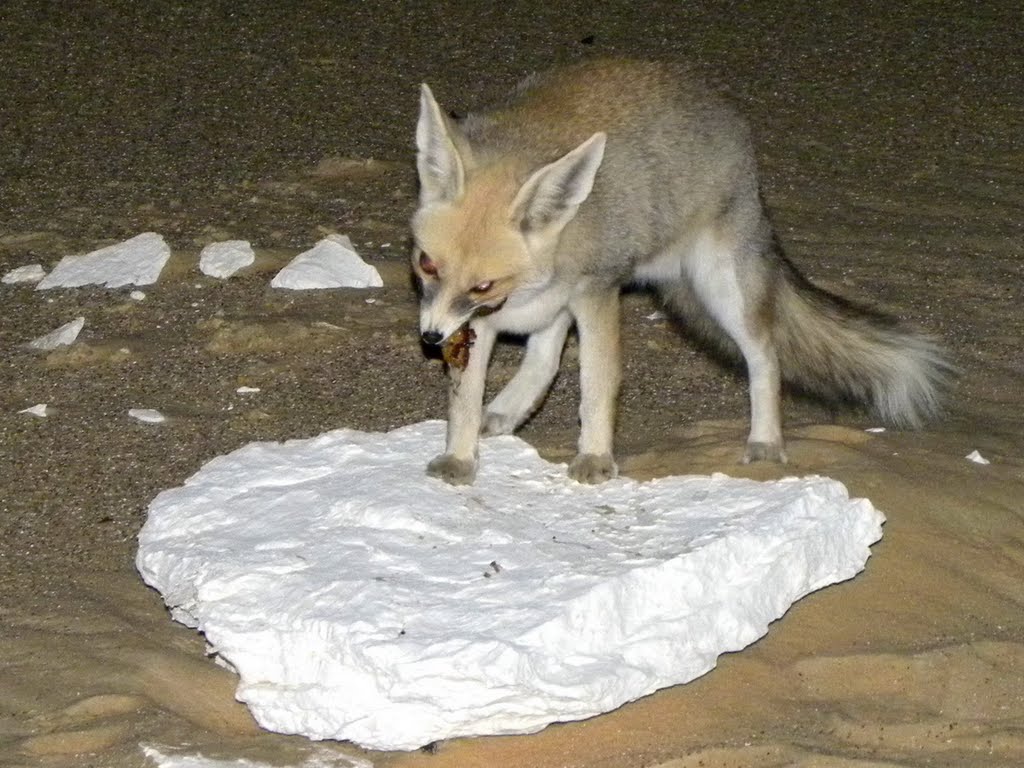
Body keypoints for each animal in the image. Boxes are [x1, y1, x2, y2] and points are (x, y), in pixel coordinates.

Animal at [409, 58, 950, 487]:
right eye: (425, 263)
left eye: (482, 283)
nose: (431, 338)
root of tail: (712, 97)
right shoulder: (478, 321)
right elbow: (464, 401)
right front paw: (460, 458)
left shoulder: (593, 294)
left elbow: (597, 386)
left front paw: (596, 456)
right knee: (544, 360)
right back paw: (505, 410)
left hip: (721, 288)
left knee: (766, 356)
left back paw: (766, 441)